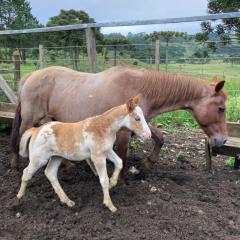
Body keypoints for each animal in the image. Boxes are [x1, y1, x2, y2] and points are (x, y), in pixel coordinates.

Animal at [10, 65, 228, 176]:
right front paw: (120, 182)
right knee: (20, 137)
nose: (222, 140)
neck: (141, 89)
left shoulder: (142, 124)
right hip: (30, 119)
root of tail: (30, 76)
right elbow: (122, 154)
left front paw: (148, 163)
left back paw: (66, 165)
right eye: (221, 108)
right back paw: (16, 165)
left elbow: (160, 137)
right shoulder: (123, 132)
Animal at [16, 95, 151, 212]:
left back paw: (67, 201)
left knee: (50, 173)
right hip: (39, 159)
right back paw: (19, 198)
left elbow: (119, 162)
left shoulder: (107, 151)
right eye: (137, 118)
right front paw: (110, 205)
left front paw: (113, 183)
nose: (148, 136)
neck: (102, 128)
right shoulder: (97, 156)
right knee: (26, 172)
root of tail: (36, 130)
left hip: (56, 157)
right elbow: (103, 180)